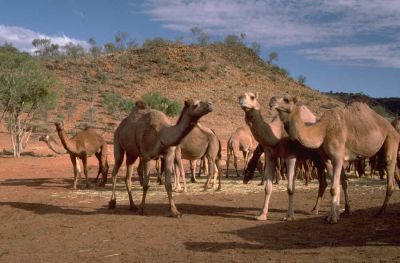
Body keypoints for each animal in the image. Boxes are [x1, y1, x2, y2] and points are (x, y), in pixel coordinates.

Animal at [238, 92, 350, 222]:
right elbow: (268, 188)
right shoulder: (271, 156)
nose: (241, 101)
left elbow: (290, 188)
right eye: (240, 96)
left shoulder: (291, 156)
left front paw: (289, 216)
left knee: (340, 181)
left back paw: (342, 212)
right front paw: (262, 215)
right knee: (326, 183)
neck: (276, 135)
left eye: (252, 97)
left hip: (332, 155)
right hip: (319, 159)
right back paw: (317, 210)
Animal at [270, 96, 398, 224]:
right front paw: (335, 214)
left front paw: (333, 218)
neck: (323, 129)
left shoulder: (337, 157)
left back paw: (380, 212)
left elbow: (333, 188)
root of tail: (392, 128)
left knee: (389, 169)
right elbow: (336, 185)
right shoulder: (327, 159)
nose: (272, 101)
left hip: (391, 139)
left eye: (286, 100)